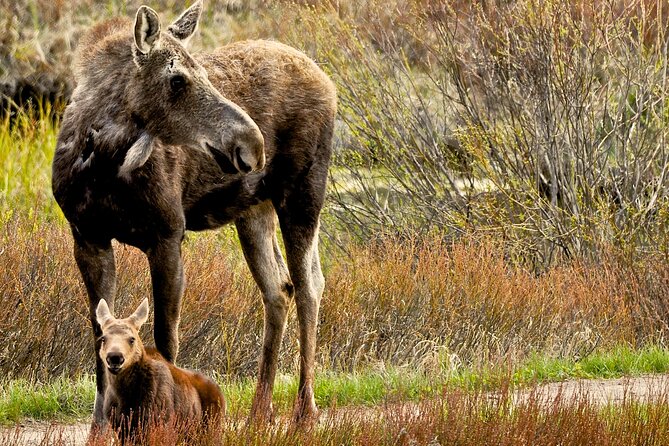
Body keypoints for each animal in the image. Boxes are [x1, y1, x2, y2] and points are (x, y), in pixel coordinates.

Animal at [95, 298, 224, 438]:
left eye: (132, 339)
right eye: (103, 338)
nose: (115, 357)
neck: (125, 395)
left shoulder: (160, 423)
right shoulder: (122, 428)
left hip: (210, 429)